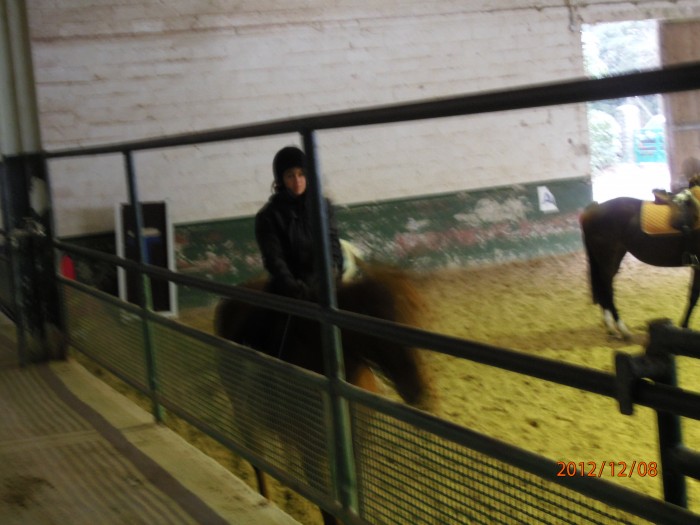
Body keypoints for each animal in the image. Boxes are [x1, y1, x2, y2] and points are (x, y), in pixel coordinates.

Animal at [215, 262, 432, 524]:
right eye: (381, 324)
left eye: (416, 315)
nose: (420, 391)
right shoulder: (312, 455)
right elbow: (328, 510)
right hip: (243, 414)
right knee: (257, 460)